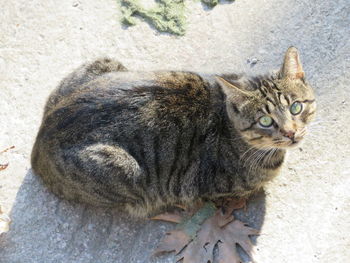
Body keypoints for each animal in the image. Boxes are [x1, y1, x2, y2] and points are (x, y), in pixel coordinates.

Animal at [31, 47, 318, 217]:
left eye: (296, 107)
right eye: (265, 121)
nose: (291, 133)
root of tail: (39, 143)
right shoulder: (208, 188)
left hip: (102, 62)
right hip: (127, 171)